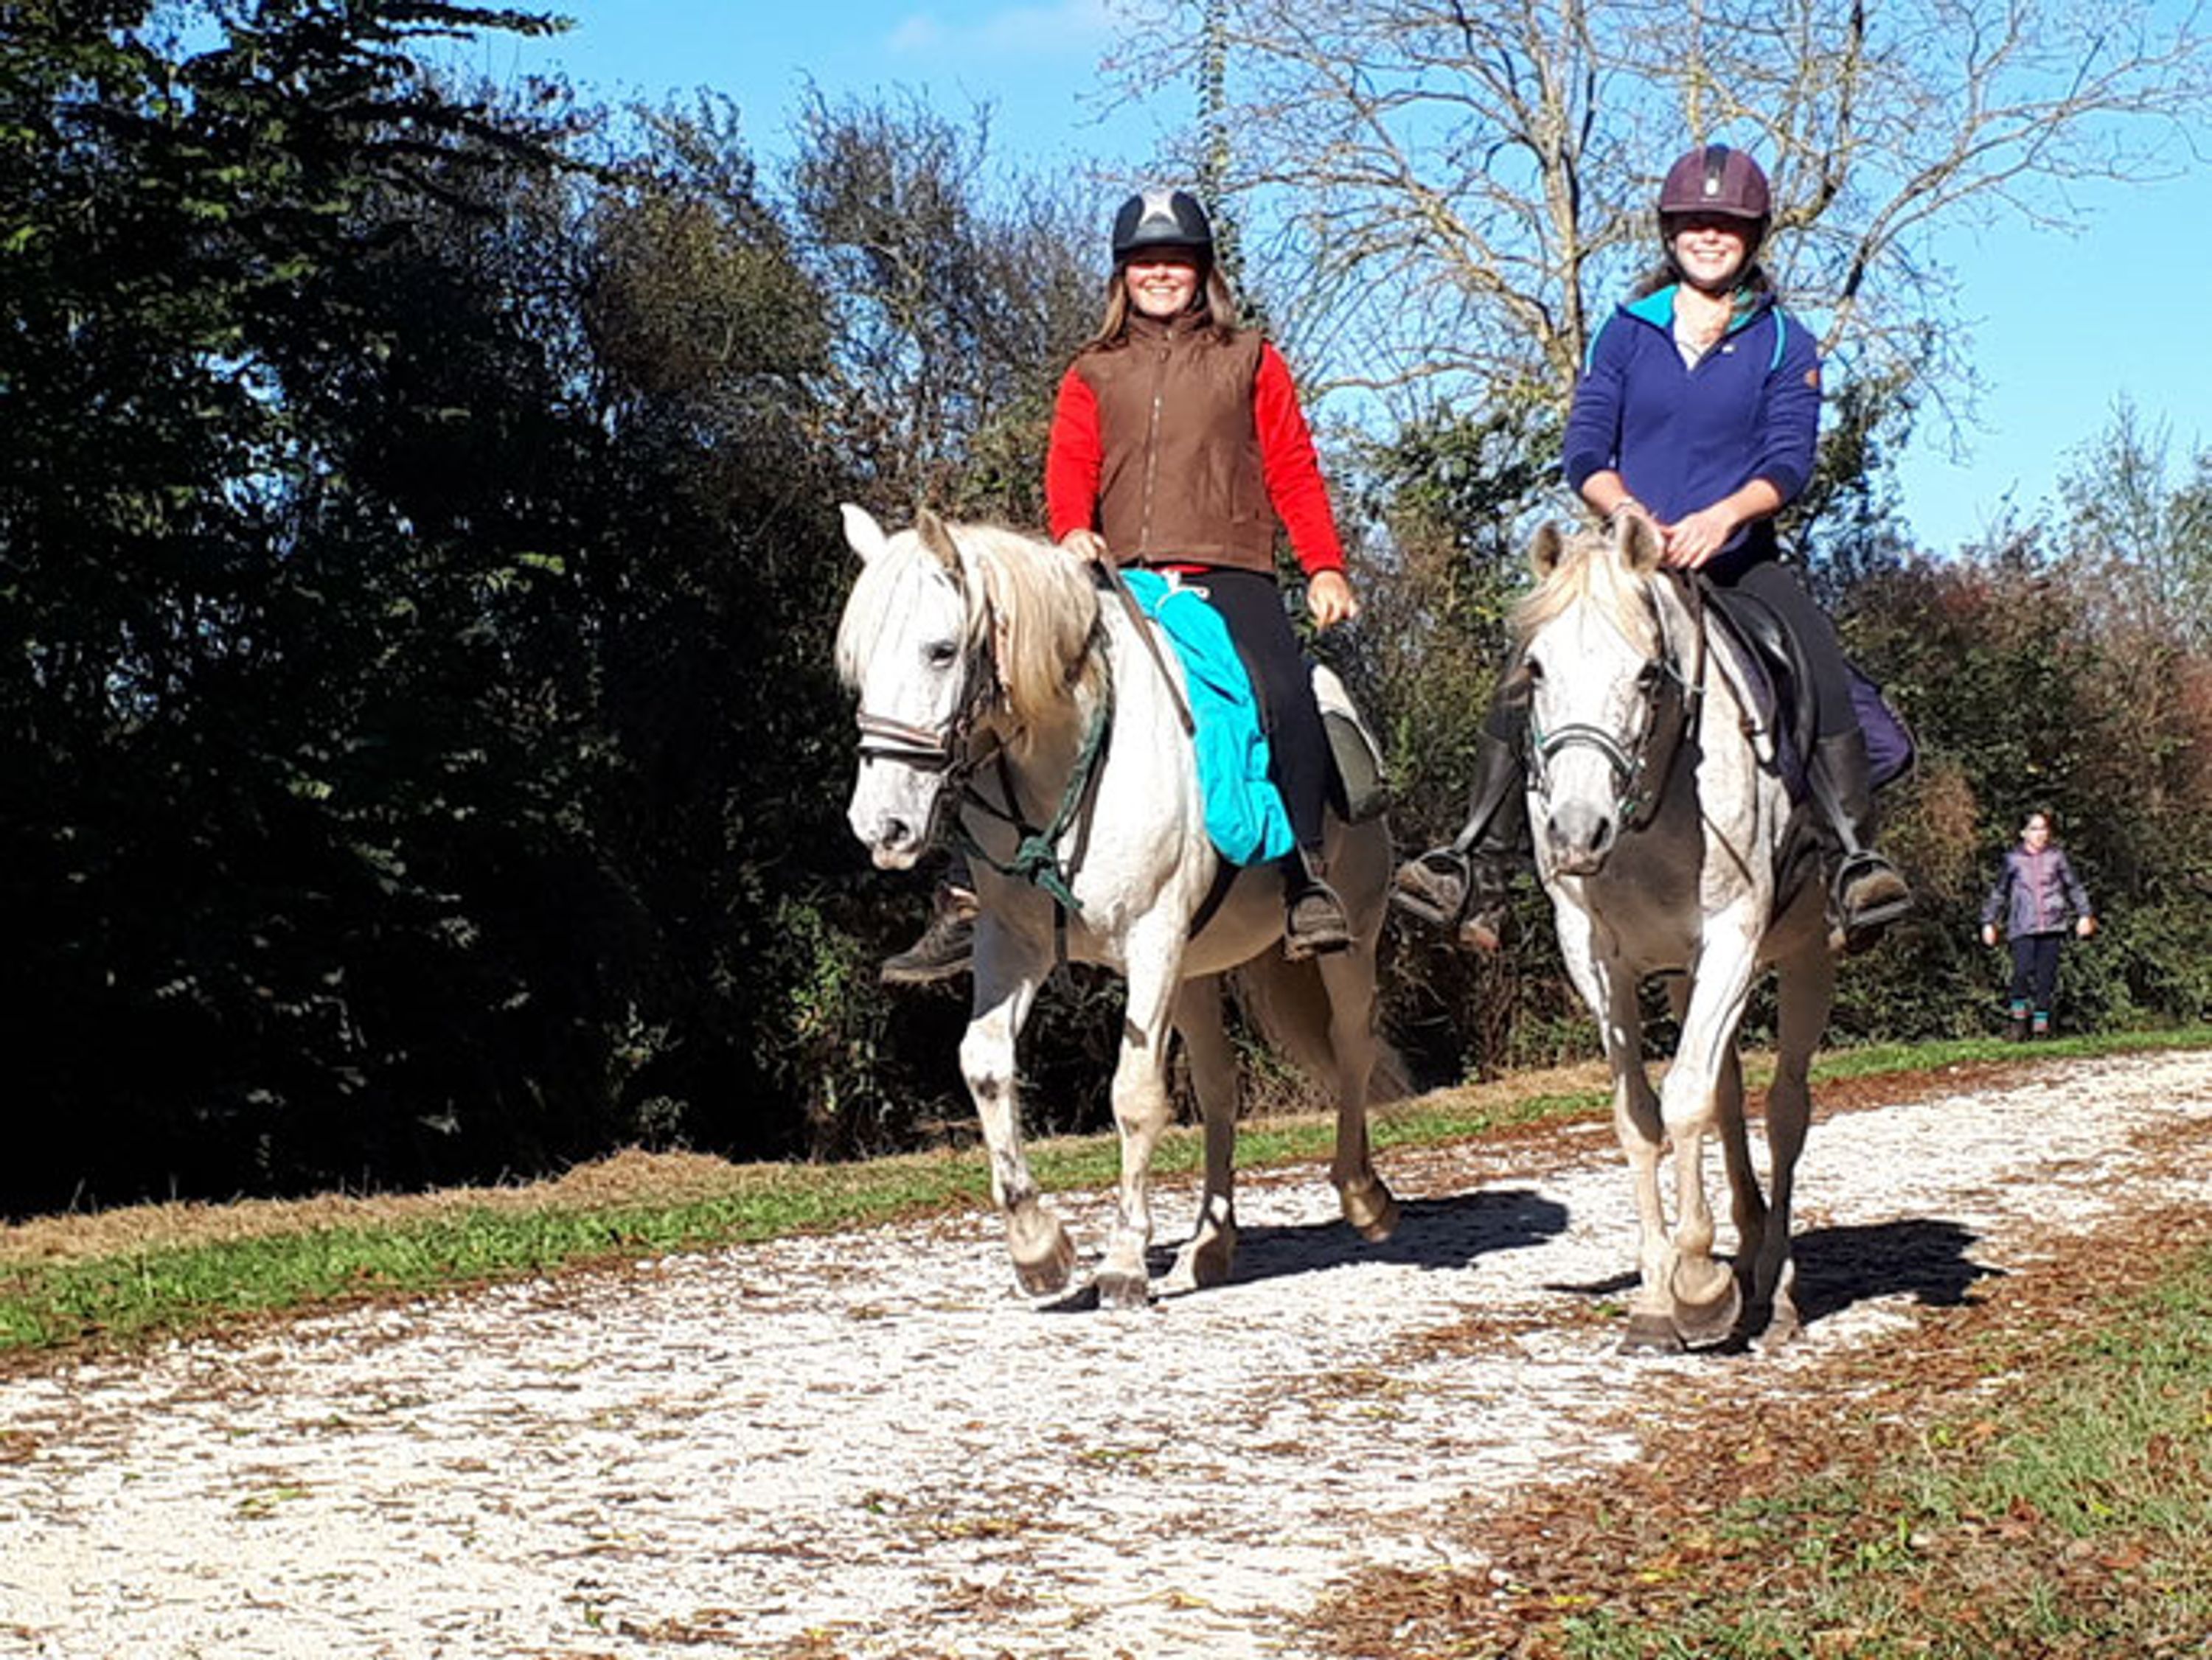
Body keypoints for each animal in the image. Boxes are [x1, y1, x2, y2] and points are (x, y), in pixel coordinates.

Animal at [834, 505, 1401, 1308]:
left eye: (940, 651)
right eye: (857, 665)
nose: (880, 826)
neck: (1067, 763)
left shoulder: (1152, 941)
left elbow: (1134, 1094)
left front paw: (1126, 1260)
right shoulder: (1013, 945)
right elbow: (984, 1063)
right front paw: (1037, 1245)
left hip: (1348, 941)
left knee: (1352, 1045)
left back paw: (1362, 1192)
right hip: (1196, 972)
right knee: (1221, 1085)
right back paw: (1208, 1244)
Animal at [1517, 515, 1834, 1351]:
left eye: (1645, 675)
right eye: (1536, 668)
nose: (1576, 832)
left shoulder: (1734, 938)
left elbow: (1688, 1095)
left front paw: (1696, 1280)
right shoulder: (1598, 960)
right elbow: (1640, 1116)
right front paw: (1659, 1295)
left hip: (1805, 958)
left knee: (1785, 1110)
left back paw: (1774, 1284)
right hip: (1692, 977)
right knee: (1731, 1094)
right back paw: (1747, 1245)